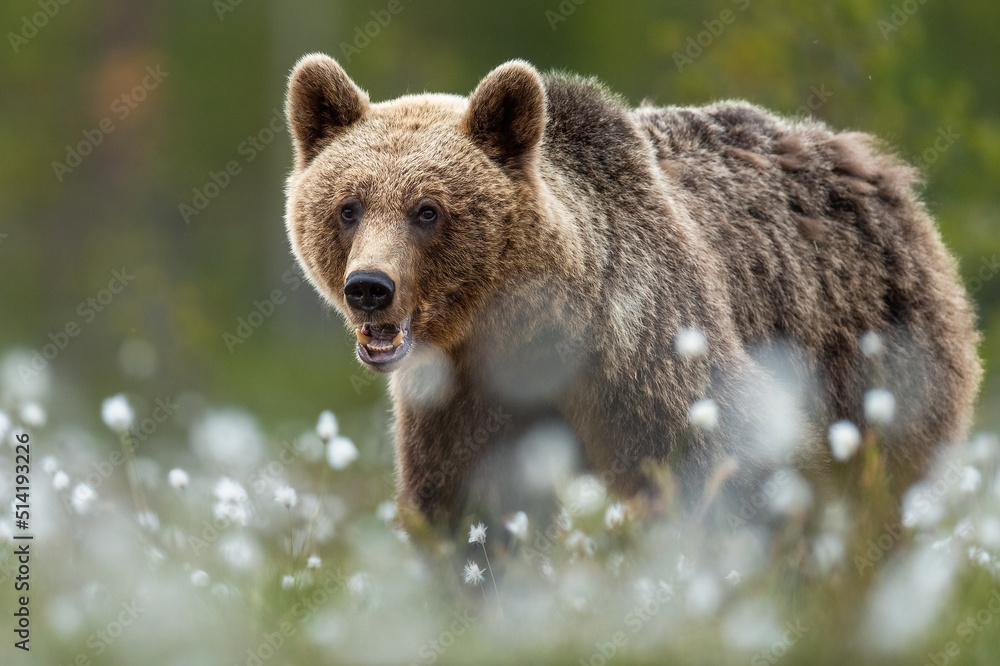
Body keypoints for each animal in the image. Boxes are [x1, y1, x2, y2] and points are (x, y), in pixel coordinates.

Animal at [283, 53, 981, 529]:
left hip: (872, 347)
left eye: (427, 210)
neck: (530, 331)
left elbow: (735, 462)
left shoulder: (652, 351)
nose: (369, 287)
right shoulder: (463, 396)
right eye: (348, 206)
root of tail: (875, 164)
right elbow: (465, 508)